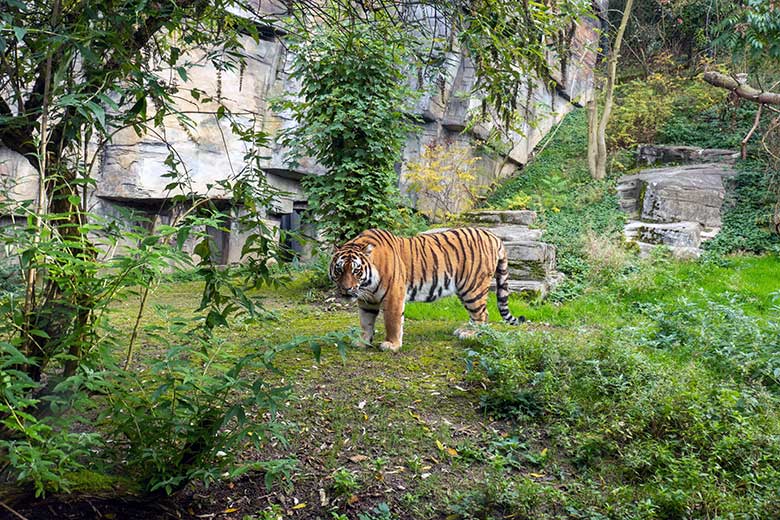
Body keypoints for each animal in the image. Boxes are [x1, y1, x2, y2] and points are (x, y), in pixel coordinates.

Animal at [330, 225, 524, 352]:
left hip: (473, 287)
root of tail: (493, 236)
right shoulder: (367, 301)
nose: (346, 289)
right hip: (465, 290)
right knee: (478, 313)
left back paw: (470, 334)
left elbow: (392, 322)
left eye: (356, 270)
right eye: (339, 270)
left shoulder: (393, 295)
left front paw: (392, 345)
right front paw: (362, 342)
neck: (367, 285)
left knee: (482, 314)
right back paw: (464, 330)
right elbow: (365, 323)